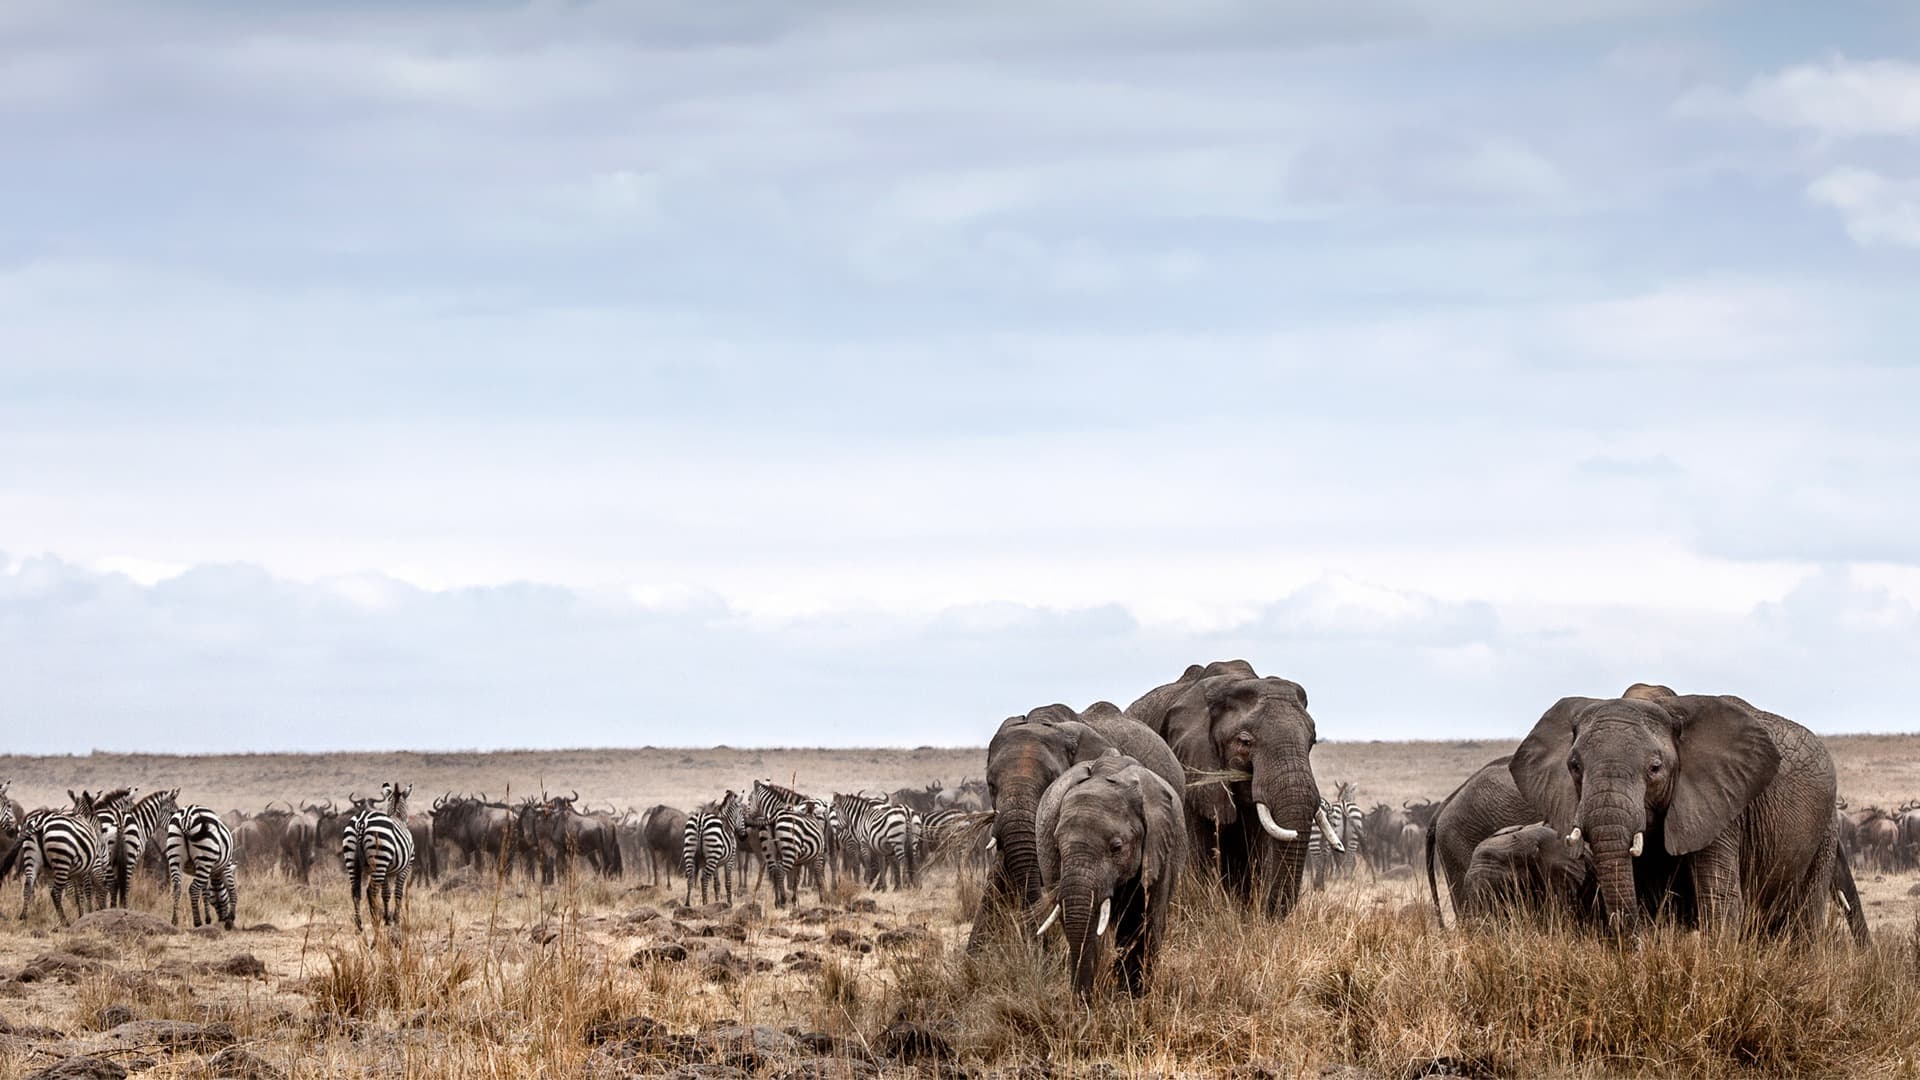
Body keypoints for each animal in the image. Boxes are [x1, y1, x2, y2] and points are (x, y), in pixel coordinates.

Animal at [343, 782, 416, 931]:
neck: (397, 816)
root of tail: (362, 820)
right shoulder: (406, 867)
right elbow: (398, 893)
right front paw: (395, 920)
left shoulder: (387, 871)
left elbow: (386, 893)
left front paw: (387, 919)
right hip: (380, 859)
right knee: (371, 891)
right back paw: (375, 920)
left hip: (352, 857)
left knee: (355, 891)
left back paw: (359, 925)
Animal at [1034, 751, 1186, 1000]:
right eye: (1057, 846)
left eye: (1116, 847)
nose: (1080, 1001)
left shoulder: (1160, 845)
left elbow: (1147, 919)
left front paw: (1134, 998)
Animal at [1510, 685, 1869, 943]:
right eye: (1574, 767)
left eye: (1655, 768)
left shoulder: (1721, 805)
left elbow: (1718, 900)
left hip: (1824, 831)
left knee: (1803, 922)